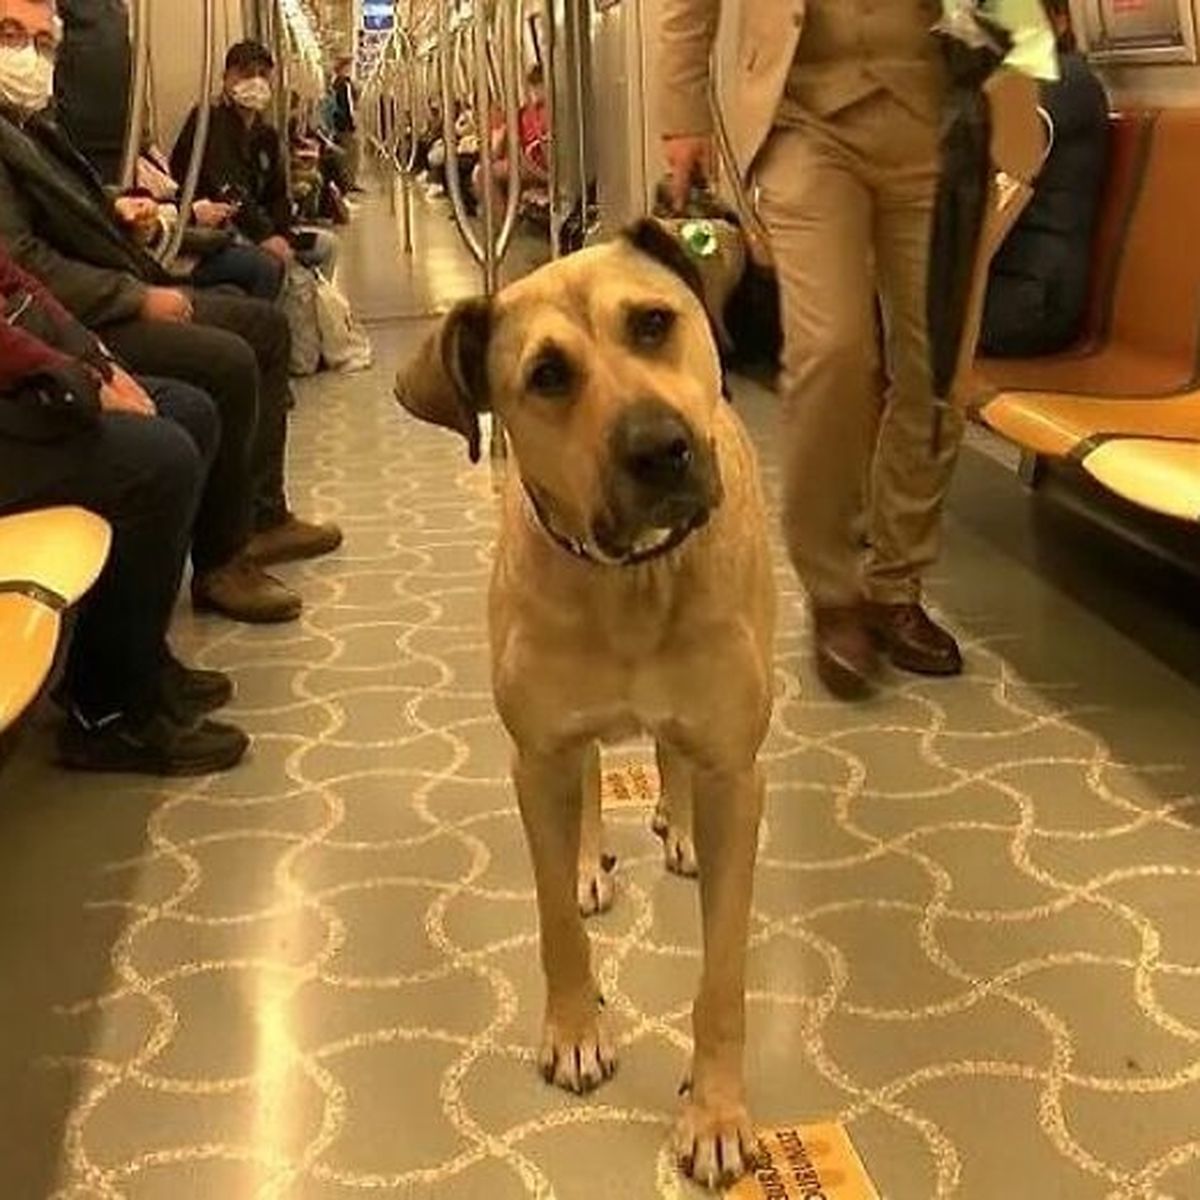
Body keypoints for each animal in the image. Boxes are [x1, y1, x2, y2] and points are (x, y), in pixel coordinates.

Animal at [393, 220, 777, 1185]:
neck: (633, 580)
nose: (658, 447)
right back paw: (587, 854)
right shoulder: (535, 759)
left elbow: (722, 976)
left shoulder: (737, 772)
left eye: (652, 323)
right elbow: (556, 923)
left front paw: (716, 1111)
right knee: (594, 772)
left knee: (668, 758)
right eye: (547, 376)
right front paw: (573, 1028)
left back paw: (677, 823)